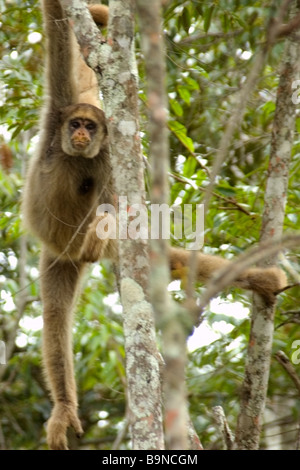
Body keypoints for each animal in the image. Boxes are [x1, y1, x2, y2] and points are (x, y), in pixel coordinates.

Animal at [22, 0, 288, 450]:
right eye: (76, 124)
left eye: (90, 126)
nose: (81, 133)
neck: (76, 155)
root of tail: (66, 249)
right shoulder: (59, 112)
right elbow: (57, 29)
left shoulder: (106, 153)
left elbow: (122, 209)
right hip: (57, 258)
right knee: (55, 319)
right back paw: (64, 406)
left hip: (73, 252)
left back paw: (261, 280)